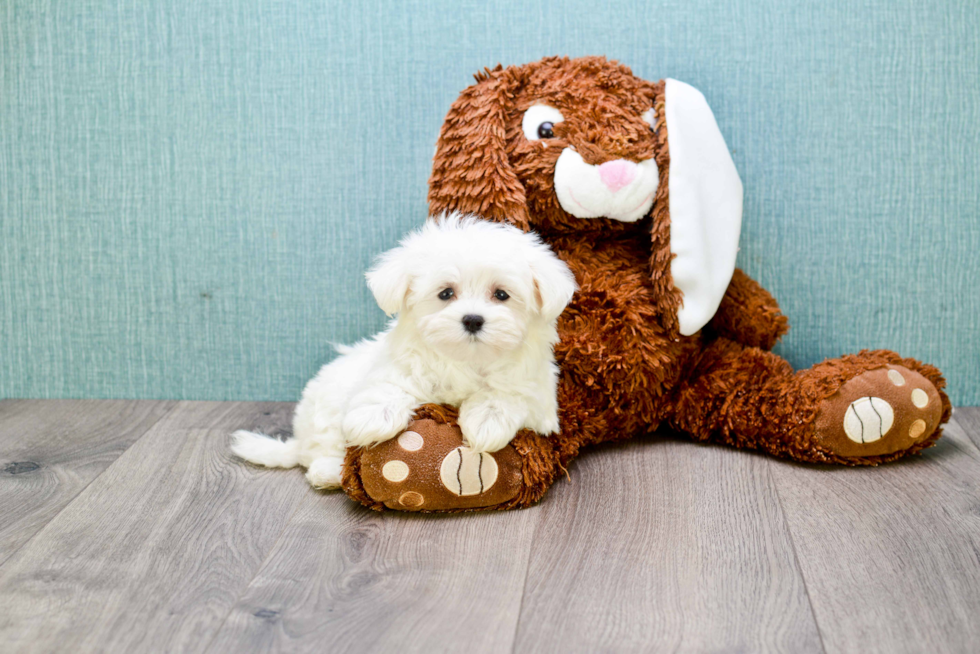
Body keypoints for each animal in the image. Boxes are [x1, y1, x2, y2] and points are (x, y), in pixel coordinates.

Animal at [233, 215, 580, 492]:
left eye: (502, 295)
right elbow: (389, 386)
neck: (465, 360)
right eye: (446, 293)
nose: (472, 319)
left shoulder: (539, 397)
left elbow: (507, 393)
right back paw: (330, 471)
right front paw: (373, 417)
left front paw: (486, 421)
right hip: (325, 406)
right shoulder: (397, 367)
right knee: (320, 447)